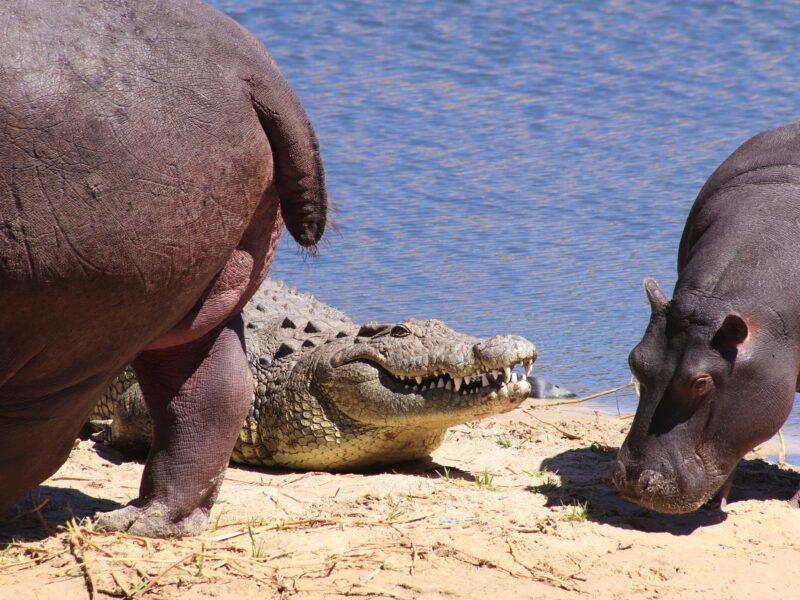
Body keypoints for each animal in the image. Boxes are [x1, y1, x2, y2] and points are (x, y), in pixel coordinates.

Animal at [0, 0, 327, 536]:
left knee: (34, 434)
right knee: (209, 390)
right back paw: (153, 520)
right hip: (191, 286)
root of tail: (251, 69)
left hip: (67, 315)